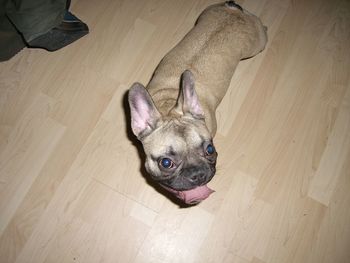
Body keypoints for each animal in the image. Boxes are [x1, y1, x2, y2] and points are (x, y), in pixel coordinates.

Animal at [129, 1, 268, 205]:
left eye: (210, 149)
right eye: (166, 163)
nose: (198, 174)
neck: (168, 107)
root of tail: (233, 9)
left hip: (256, 44)